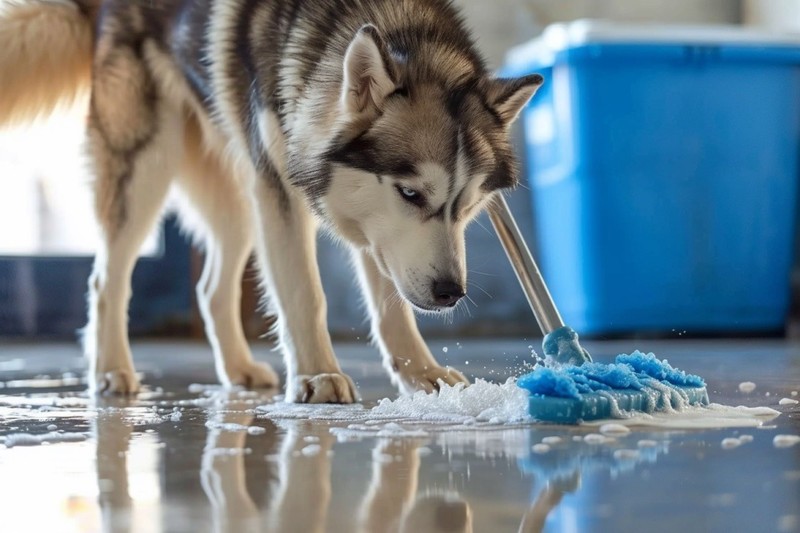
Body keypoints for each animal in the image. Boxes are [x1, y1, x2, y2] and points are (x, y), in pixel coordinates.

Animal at [0, 0, 540, 402]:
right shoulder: (281, 192)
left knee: (210, 289)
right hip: (147, 169)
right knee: (105, 279)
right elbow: (304, 292)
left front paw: (420, 373)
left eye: (468, 205)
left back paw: (237, 369)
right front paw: (317, 375)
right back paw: (111, 370)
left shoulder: (376, 232)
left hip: (240, 198)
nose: (452, 292)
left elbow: (392, 306)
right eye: (411, 193)